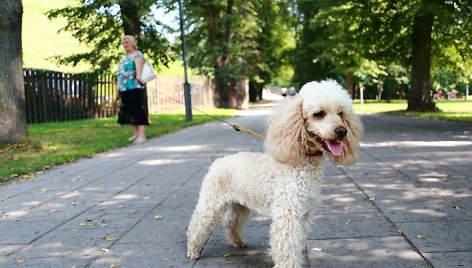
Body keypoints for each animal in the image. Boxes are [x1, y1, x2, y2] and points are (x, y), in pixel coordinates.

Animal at [186, 79, 364, 268]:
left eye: (340, 113)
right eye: (319, 114)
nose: (342, 131)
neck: (301, 165)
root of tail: (218, 162)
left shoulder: (304, 214)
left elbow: (297, 243)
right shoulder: (288, 215)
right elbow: (287, 247)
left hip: (240, 205)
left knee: (230, 222)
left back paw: (238, 242)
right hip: (211, 203)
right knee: (198, 224)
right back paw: (193, 250)